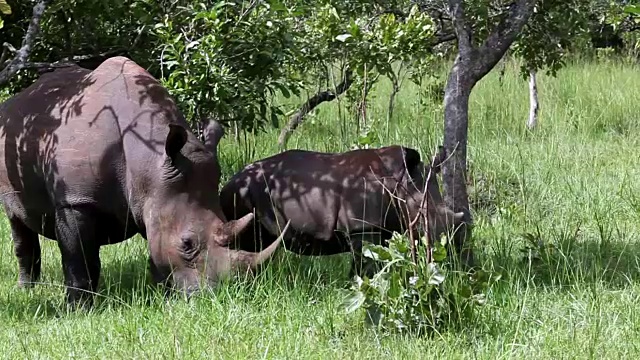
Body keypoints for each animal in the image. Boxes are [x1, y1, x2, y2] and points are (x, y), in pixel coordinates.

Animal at [220, 145, 464, 278]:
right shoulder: (361, 226)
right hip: (241, 194)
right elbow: (364, 265)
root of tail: (231, 180)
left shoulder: (382, 226)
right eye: (424, 214)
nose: (448, 243)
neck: (400, 181)